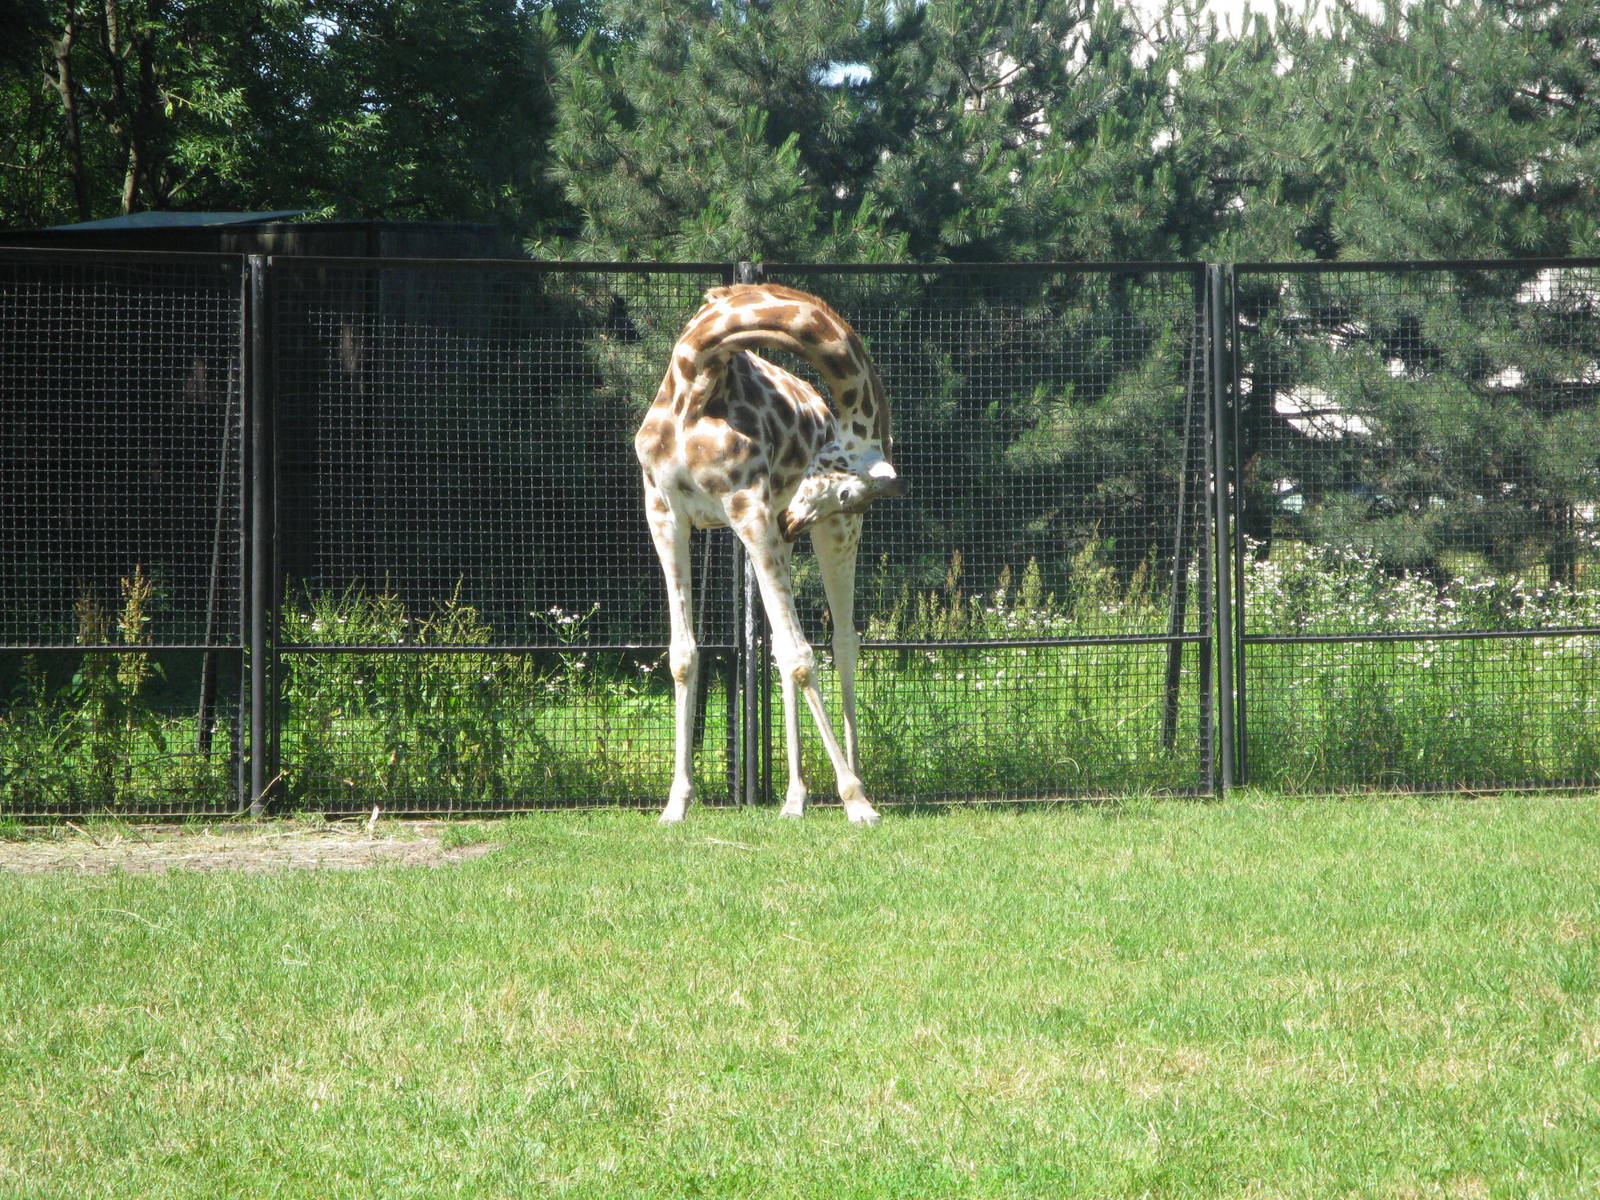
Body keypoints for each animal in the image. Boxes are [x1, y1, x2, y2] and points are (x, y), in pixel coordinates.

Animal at [636, 283, 905, 825]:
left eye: (848, 494)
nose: (795, 520)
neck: (696, 373)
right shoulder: (665, 510)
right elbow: (684, 654)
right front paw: (676, 803)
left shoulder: (748, 503)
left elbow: (804, 656)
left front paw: (856, 800)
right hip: (768, 538)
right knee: (778, 648)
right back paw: (794, 799)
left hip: (827, 534)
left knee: (843, 642)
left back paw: (857, 782)